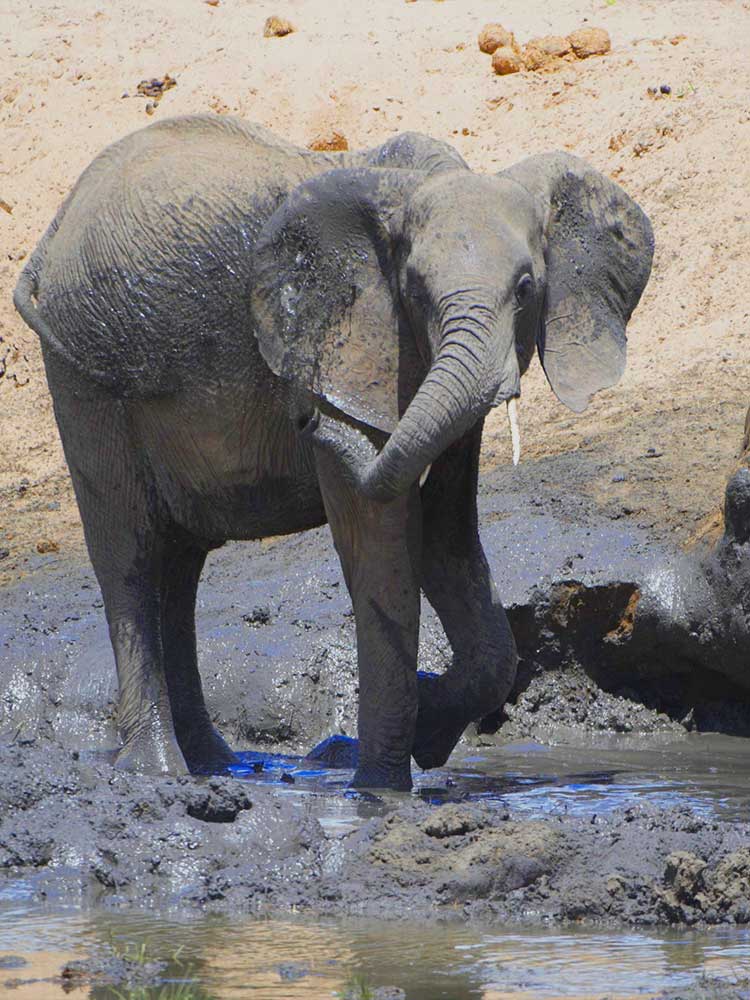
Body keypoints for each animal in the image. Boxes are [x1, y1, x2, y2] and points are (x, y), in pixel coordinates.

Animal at [14, 114, 653, 790]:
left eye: (528, 288)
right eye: (415, 292)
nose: (303, 415)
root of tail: (49, 240)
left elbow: (445, 537)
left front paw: (412, 734)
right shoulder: (350, 342)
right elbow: (379, 539)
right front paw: (378, 787)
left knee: (180, 566)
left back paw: (217, 763)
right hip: (86, 373)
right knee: (130, 556)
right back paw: (158, 771)